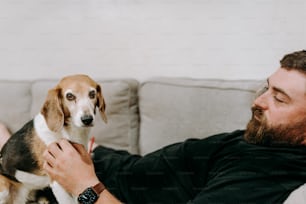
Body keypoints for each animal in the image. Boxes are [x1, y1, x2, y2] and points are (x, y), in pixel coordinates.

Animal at [0, 74, 107, 203]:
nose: (87, 119)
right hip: (3, 188)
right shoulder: (57, 180)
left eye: (92, 94)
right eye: (69, 96)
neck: (67, 131)